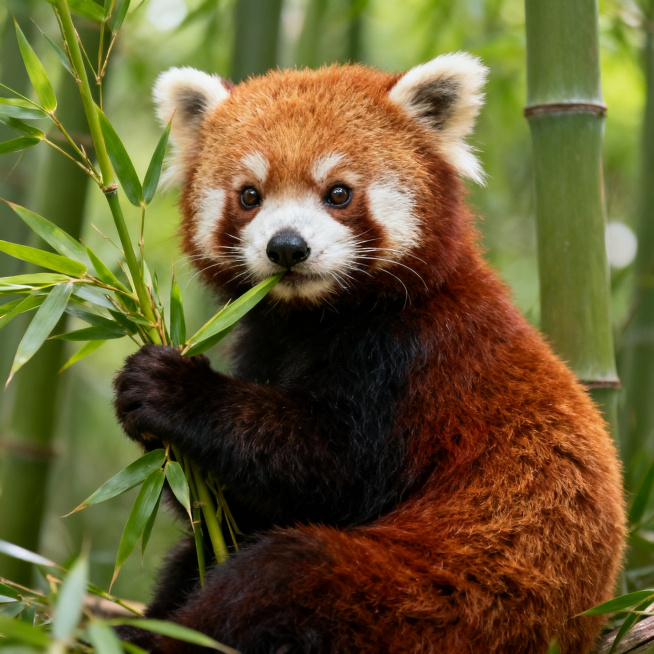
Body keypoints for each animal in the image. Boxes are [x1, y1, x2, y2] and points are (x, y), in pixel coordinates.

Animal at [113, 53, 626, 653]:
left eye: (338, 193)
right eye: (249, 195)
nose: (287, 247)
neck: (318, 319)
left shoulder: (413, 363)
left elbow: (330, 473)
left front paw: (176, 388)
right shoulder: (263, 345)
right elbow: (234, 512)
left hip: (437, 605)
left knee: (284, 573)